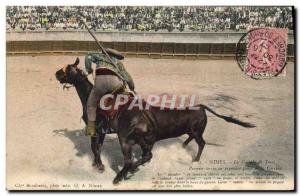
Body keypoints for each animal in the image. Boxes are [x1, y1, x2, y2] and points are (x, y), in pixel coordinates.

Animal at [54, 57, 255, 184]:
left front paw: (98, 166)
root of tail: (201, 106)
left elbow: (94, 148)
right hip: (150, 140)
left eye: (66, 69)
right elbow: (97, 148)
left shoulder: (95, 130)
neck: (90, 95)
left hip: (127, 139)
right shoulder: (102, 132)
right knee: (148, 155)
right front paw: (98, 165)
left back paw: (120, 177)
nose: (56, 73)